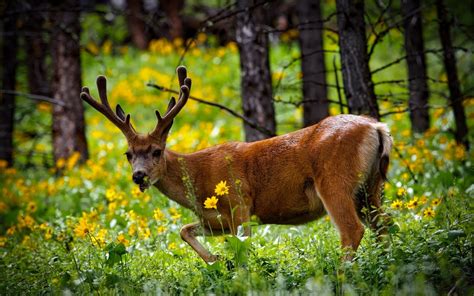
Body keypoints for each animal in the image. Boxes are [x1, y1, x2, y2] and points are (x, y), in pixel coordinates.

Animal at [81, 66, 392, 262]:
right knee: (384, 224)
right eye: (128, 154)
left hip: (334, 180)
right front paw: (216, 258)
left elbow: (243, 252)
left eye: (157, 151)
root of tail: (377, 127)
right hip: (370, 186)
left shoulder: (240, 204)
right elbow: (184, 230)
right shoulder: (215, 219)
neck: (198, 179)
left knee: (353, 230)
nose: (139, 176)